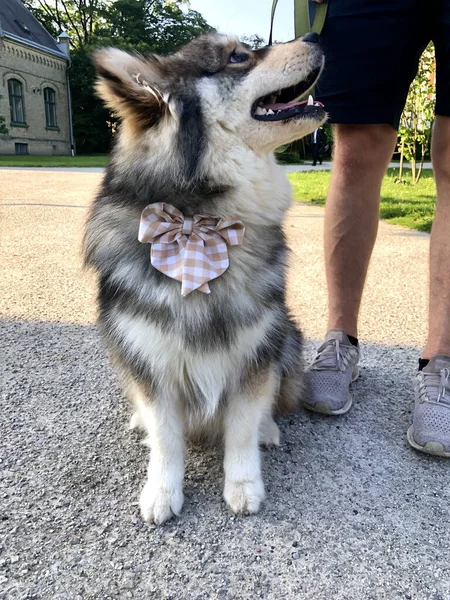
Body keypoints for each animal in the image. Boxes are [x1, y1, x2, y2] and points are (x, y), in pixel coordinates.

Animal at [82, 32, 326, 524]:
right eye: (237, 56)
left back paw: (270, 428)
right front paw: (161, 490)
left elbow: (242, 427)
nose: (314, 34)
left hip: (287, 333)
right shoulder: (149, 356)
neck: (199, 218)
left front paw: (244, 484)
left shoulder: (255, 351)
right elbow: (166, 436)